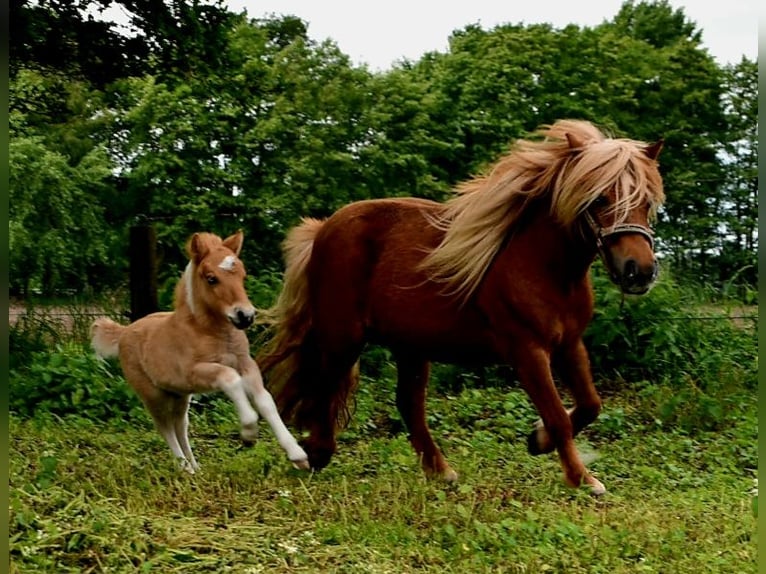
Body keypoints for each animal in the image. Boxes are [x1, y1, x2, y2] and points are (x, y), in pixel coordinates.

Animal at [94, 232, 310, 474]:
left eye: (243, 276)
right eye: (211, 278)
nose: (245, 315)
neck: (212, 332)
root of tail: (124, 332)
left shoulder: (247, 365)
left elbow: (266, 401)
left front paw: (297, 454)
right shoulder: (193, 372)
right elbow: (229, 378)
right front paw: (248, 430)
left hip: (179, 395)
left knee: (180, 425)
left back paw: (195, 467)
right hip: (153, 394)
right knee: (164, 426)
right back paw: (184, 468)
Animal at [260, 120, 664, 496]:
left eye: (647, 202)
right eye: (599, 199)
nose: (639, 271)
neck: (543, 267)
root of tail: (323, 230)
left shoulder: (569, 344)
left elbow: (590, 404)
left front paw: (537, 441)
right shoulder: (528, 351)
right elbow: (557, 416)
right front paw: (582, 478)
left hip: (410, 348)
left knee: (406, 404)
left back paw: (440, 471)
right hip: (344, 336)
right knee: (325, 386)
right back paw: (316, 452)